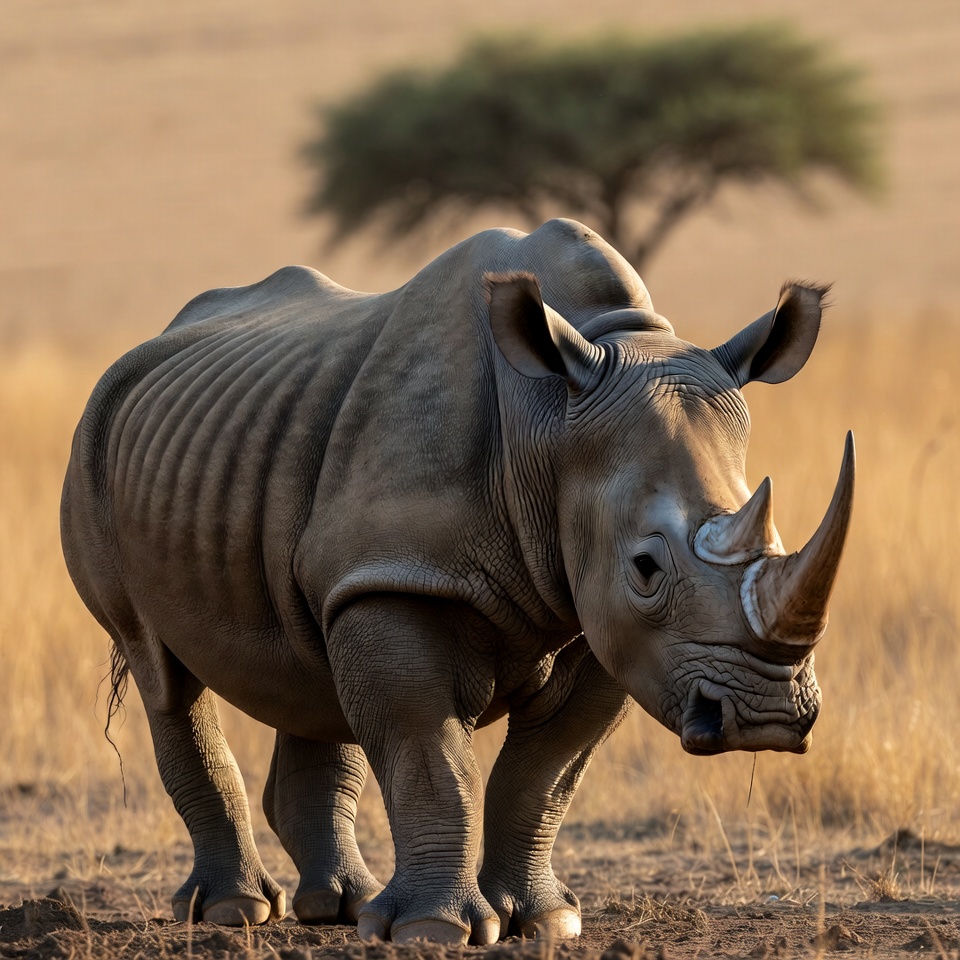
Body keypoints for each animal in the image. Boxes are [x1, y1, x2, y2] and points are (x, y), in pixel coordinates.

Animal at [61, 219, 854, 944]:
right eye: (647, 568)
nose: (767, 717)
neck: (547, 424)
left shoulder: (601, 622)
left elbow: (546, 771)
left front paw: (545, 922)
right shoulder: (399, 575)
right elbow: (429, 755)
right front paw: (432, 932)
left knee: (312, 666)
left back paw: (338, 908)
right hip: (94, 443)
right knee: (160, 668)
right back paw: (237, 913)